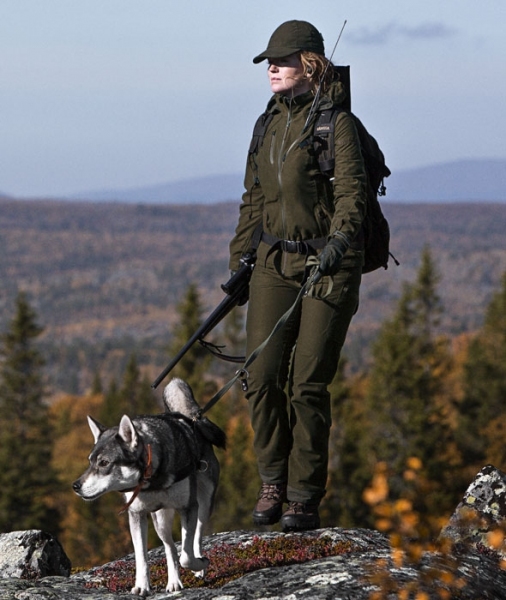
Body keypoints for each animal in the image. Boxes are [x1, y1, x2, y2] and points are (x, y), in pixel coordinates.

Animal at [72, 378, 225, 592]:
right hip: (160, 520)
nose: (75, 486)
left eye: (104, 463)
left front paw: (199, 564)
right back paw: (174, 582)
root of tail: (190, 420)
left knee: (196, 538)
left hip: (204, 504)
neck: (153, 479)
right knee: (170, 548)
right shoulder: (137, 514)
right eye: (90, 461)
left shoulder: (188, 507)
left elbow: (187, 555)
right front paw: (141, 586)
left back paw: (199, 568)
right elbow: (142, 557)